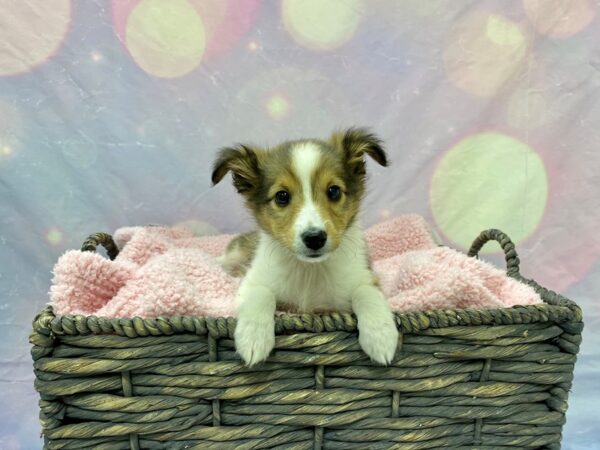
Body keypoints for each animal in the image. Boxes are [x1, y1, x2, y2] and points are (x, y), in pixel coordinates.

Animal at [211, 128, 398, 368]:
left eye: (334, 191)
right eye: (282, 196)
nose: (315, 238)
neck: (310, 270)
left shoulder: (365, 277)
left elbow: (367, 294)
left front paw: (381, 336)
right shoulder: (252, 283)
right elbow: (262, 295)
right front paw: (253, 338)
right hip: (237, 252)